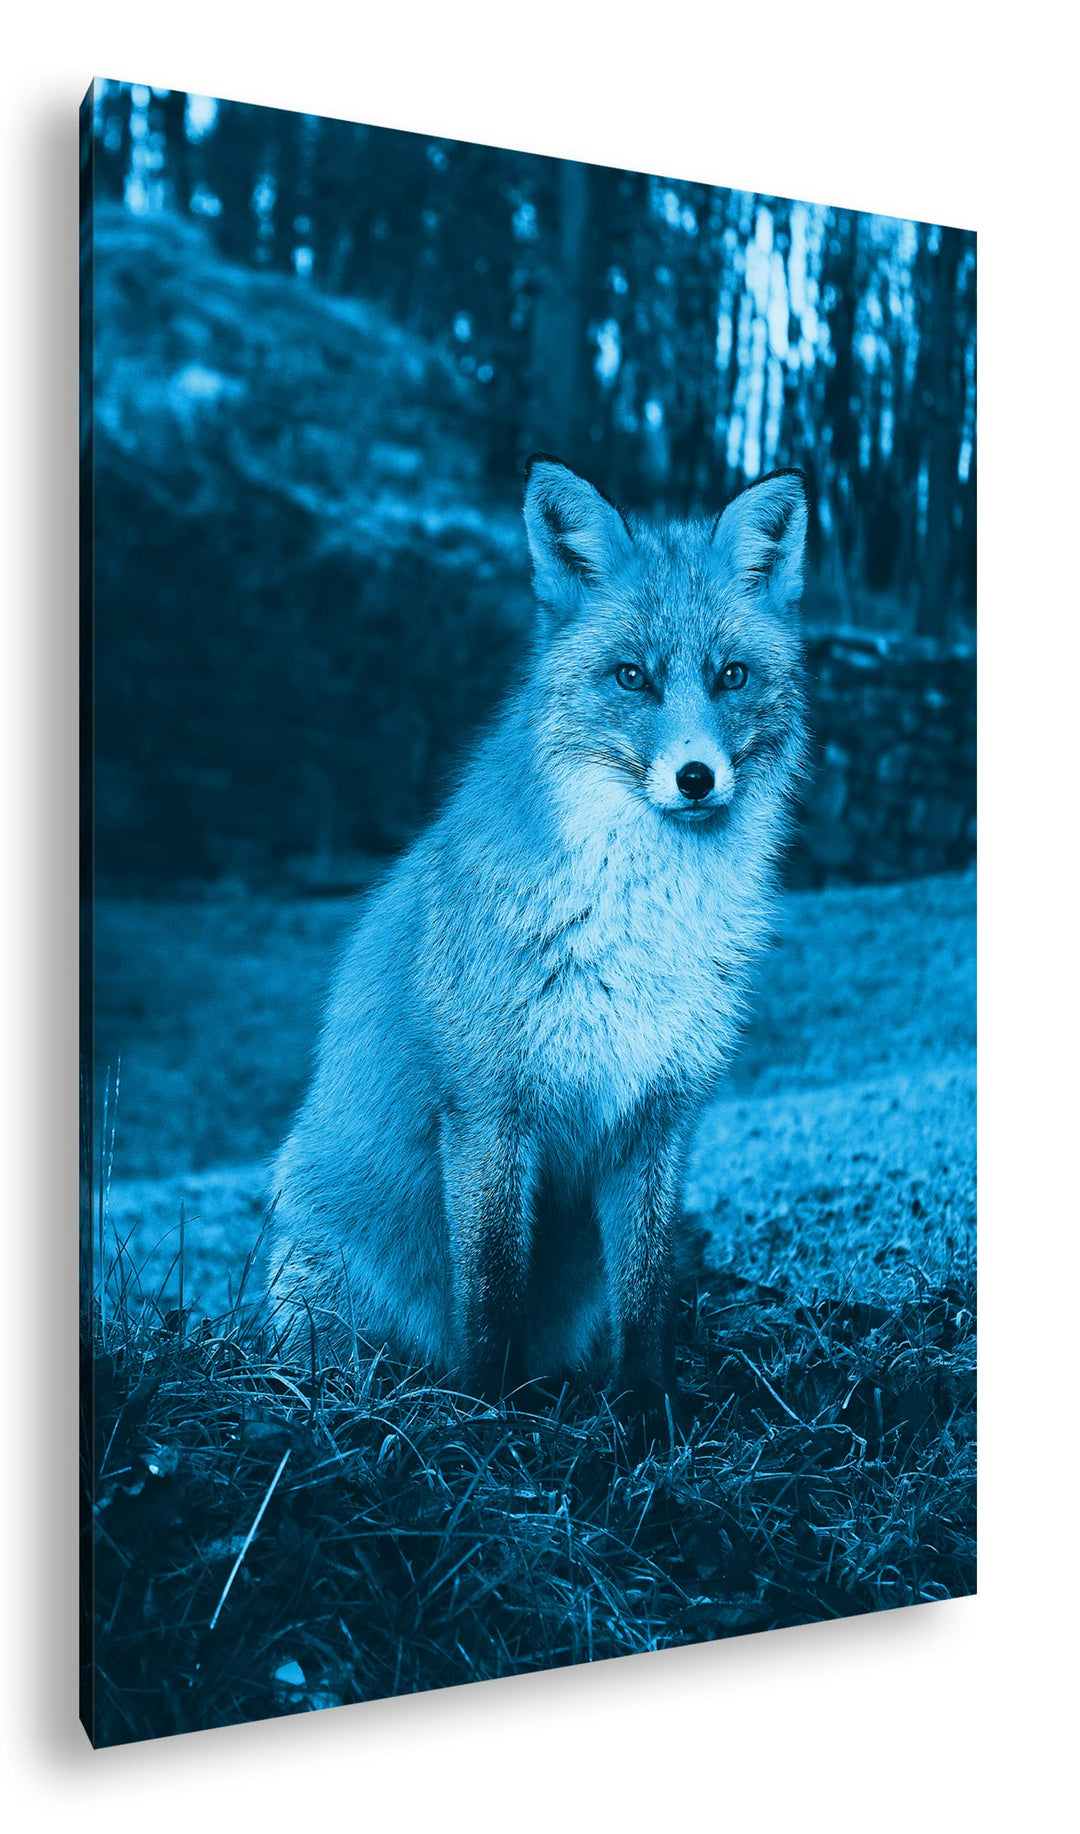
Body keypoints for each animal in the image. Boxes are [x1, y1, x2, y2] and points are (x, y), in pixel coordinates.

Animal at [264, 456, 809, 1416]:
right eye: (631, 678)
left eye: (732, 676)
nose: (696, 778)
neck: (640, 925)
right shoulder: (489, 1108)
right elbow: (491, 1290)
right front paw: (489, 1413)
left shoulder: (657, 1115)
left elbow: (647, 1293)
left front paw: (647, 1413)